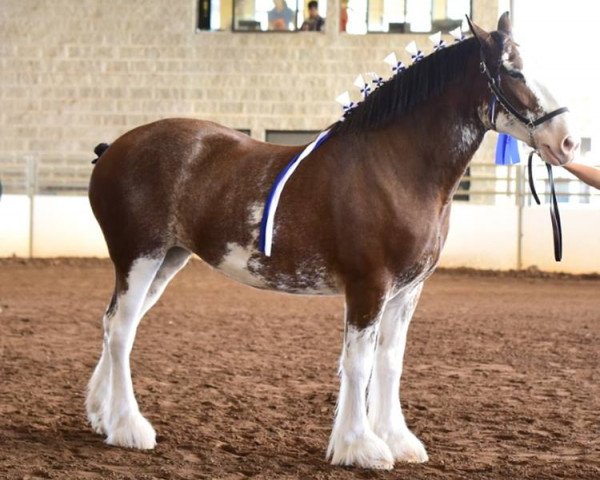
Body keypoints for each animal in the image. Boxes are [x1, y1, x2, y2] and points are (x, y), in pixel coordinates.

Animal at [84, 13, 576, 470]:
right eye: (513, 71)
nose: (568, 142)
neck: (395, 167)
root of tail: (112, 149)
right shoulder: (369, 285)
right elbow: (358, 362)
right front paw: (360, 447)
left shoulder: (407, 291)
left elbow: (390, 362)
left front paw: (397, 440)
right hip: (139, 257)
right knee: (122, 329)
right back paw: (128, 427)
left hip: (167, 260)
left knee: (115, 326)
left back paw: (101, 414)